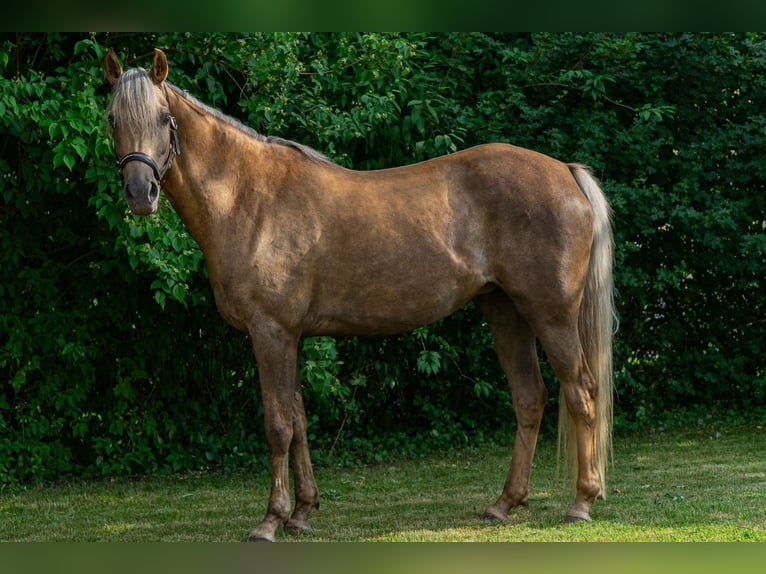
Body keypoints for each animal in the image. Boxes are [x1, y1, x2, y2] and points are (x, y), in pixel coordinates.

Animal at [103, 48, 615, 542]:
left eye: (163, 117)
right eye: (111, 118)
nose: (140, 193)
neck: (250, 199)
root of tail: (566, 172)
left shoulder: (271, 333)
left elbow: (277, 426)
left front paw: (270, 521)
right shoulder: (291, 337)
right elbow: (299, 422)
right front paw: (302, 514)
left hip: (551, 316)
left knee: (581, 392)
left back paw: (581, 503)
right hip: (505, 311)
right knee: (530, 398)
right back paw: (504, 503)